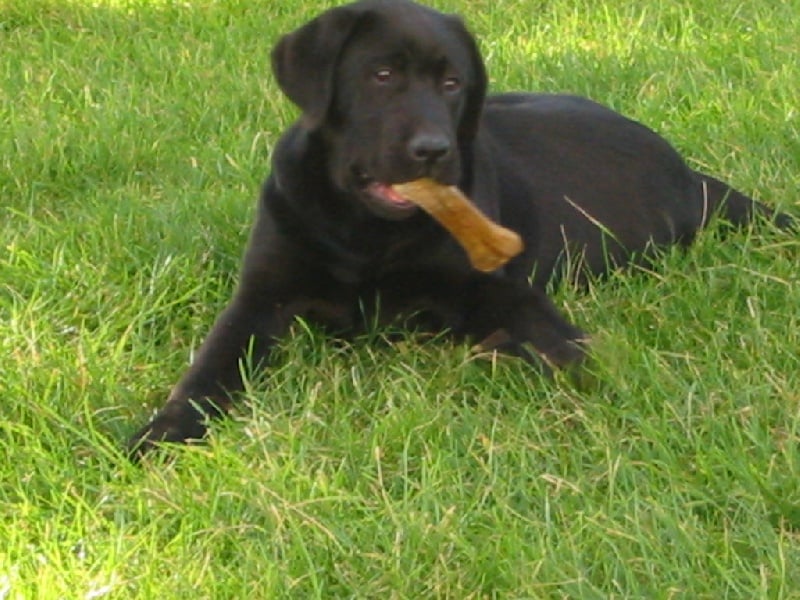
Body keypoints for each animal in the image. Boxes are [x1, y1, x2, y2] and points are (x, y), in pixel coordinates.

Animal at [127, 0, 791, 458]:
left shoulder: (497, 288)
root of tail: (691, 174)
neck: (366, 233)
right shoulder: (259, 299)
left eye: (451, 84)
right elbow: (205, 373)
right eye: (382, 75)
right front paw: (157, 436)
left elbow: (567, 347)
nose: (433, 150)